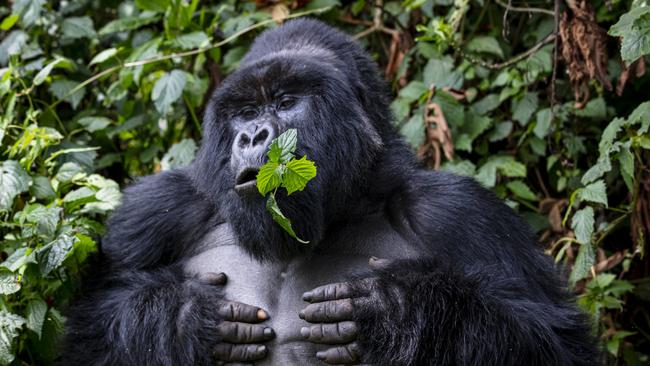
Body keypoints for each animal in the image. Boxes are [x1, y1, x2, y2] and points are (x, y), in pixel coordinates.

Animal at [63, 18, 596, 364]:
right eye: (244, 112)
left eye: (285, 102)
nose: (252, 136)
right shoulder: (158, 209)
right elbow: (90, 333)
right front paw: (181, 315)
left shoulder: (460, 211)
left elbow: (554, 340)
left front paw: (401, 307)